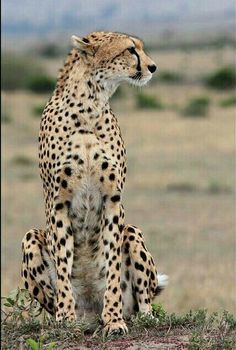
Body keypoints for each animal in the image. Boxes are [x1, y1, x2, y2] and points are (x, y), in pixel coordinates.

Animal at [20, 31, 168, 334]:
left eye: (140, 47)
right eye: (130, 49)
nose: (153, 67)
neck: (89, 106)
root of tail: (89, 311)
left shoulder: (112, 199)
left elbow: (111, 263)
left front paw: (113, 319)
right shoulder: (58, 202)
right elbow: (64, 264)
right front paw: (65, 317)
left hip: (132, 232)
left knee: (144, 300)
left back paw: (142, 317)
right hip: (30, 238)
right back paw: (72, 316)